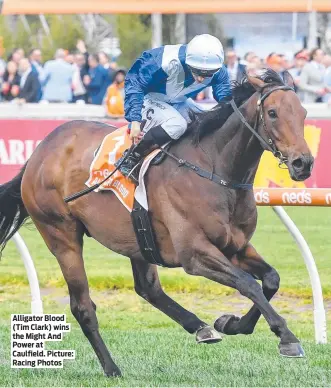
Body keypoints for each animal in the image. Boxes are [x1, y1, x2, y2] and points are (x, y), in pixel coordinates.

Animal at [0, 69, 314, 376]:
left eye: (303, 113)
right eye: (272, 113)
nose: (303, 163)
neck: (215, 171)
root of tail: (40, 152)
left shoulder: (236, 246)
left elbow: (270, 280)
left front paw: (231, 323)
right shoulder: (195, 253)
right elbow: (248, 284)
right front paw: (287, 337)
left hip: (138, 240)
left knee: (147, 288)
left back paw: (200, 328)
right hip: (62, 236)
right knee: (82, 306)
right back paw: (112, 368)